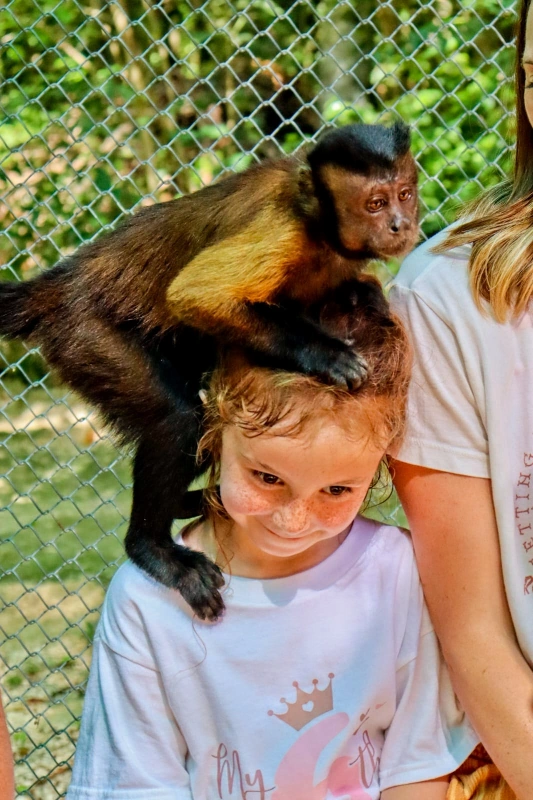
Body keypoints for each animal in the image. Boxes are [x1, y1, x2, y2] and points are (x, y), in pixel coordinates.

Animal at [0, 122, 419, 621]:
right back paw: (150, 547)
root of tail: (62, 285)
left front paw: (362, 299)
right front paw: (327, 355)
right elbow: (195, 296)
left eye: (405, 194)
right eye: (376, 203)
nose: (401, 223)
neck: (321, 227)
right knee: (179, 418)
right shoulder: (285, 232)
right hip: (85, 335)